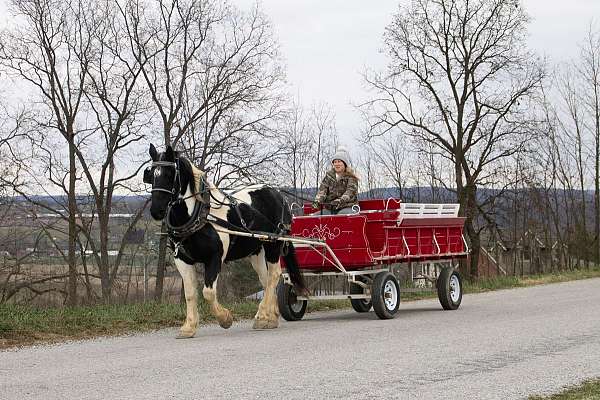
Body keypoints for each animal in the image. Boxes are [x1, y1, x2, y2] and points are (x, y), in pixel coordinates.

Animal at [144, 144, 308, 338]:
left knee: (274, 275)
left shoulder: (215, 257)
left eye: (170, 174)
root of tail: (278, 194)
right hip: (257, 251)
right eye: (151, 174)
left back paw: (262, 315)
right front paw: (188, 327)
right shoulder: (182, 259)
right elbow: (190, 293)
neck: (199, 215)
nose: (156, 210)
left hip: (274, 244)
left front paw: (225, 318)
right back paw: (270, 318)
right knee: (266, 279)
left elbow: (208, 292)